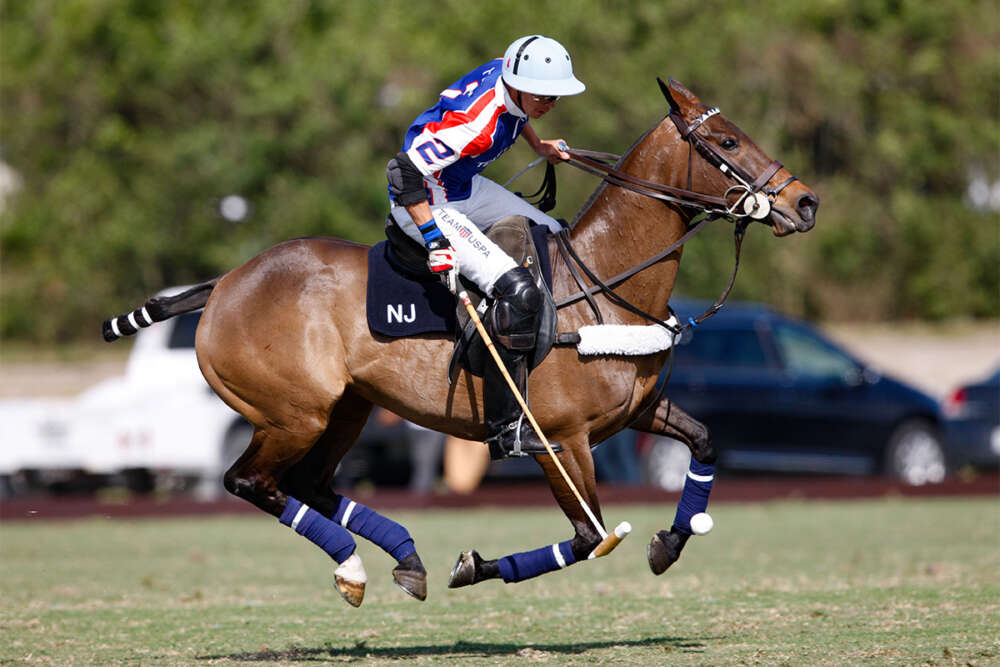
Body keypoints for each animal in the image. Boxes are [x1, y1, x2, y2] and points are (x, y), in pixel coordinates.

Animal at [103, 77, 820, 604]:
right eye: (727, 139)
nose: (806, 203)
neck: (601, 279)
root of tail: (222, 284)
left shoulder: (636, 410)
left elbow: (703, 441)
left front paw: (670, 542)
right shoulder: (558, 440)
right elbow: (588, 536)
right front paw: (475, 565)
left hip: (347, 408)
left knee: (307, 482)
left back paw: (405, 556)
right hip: (292, 411)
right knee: (251, 481)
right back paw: (355, 568)